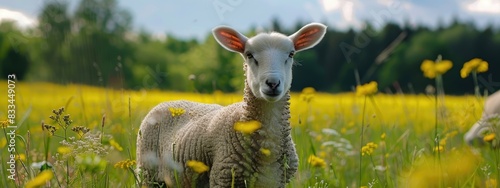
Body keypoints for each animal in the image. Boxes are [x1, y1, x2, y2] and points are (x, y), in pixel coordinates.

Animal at [136, 22, 328, 187]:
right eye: (249, 55)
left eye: (291, 54)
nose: (272, 83)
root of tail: (168, 102)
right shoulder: (223, 176)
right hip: (147, 173)